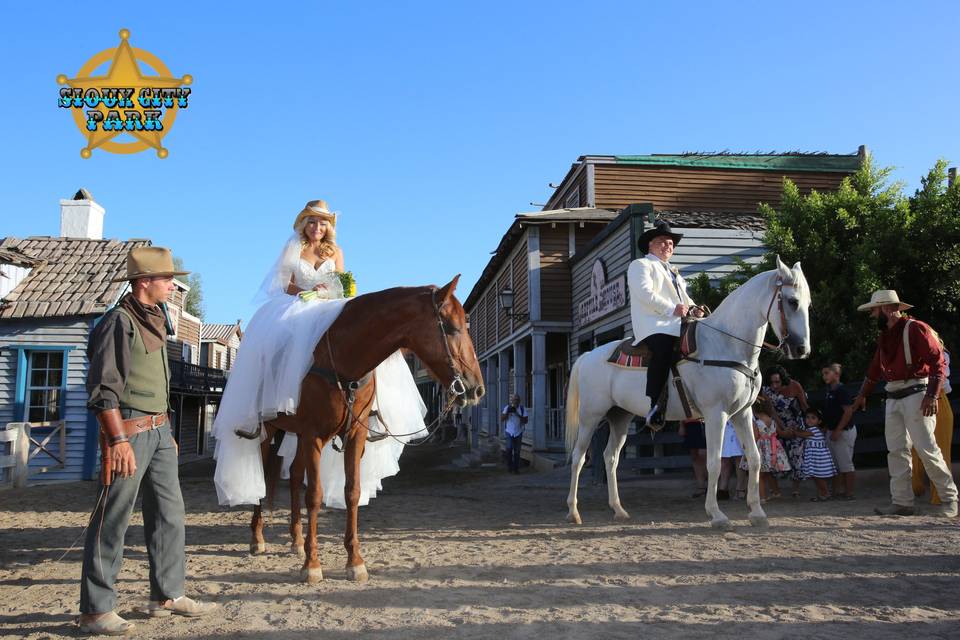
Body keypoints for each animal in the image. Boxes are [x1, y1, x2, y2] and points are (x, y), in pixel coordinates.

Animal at [246, 278, 480, 584]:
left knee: (295, 477)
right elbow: (315, 495)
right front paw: (312, 564)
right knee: (263, 477)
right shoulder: (313, 436)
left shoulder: (353, 436)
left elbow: (352, 492)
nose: (477, 387)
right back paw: (257, 538)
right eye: (452, 327)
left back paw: (296, 540)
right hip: (270, 430)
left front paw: (354, 561)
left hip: (296, 436)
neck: (342, 359)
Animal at [564, 256, 808, 528]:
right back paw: (574, 511)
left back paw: (618, 509)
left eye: (807, 303)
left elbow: (755, 459)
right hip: (590, 417)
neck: (725, 346)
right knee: (578, 457)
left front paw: (757, 513)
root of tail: (587, 355)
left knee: (610, 457)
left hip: (620, 416)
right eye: (792, 301)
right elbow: (714, 463)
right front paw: (716, 514)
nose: (801, 349)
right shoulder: (716, 414)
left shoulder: (741, 414)